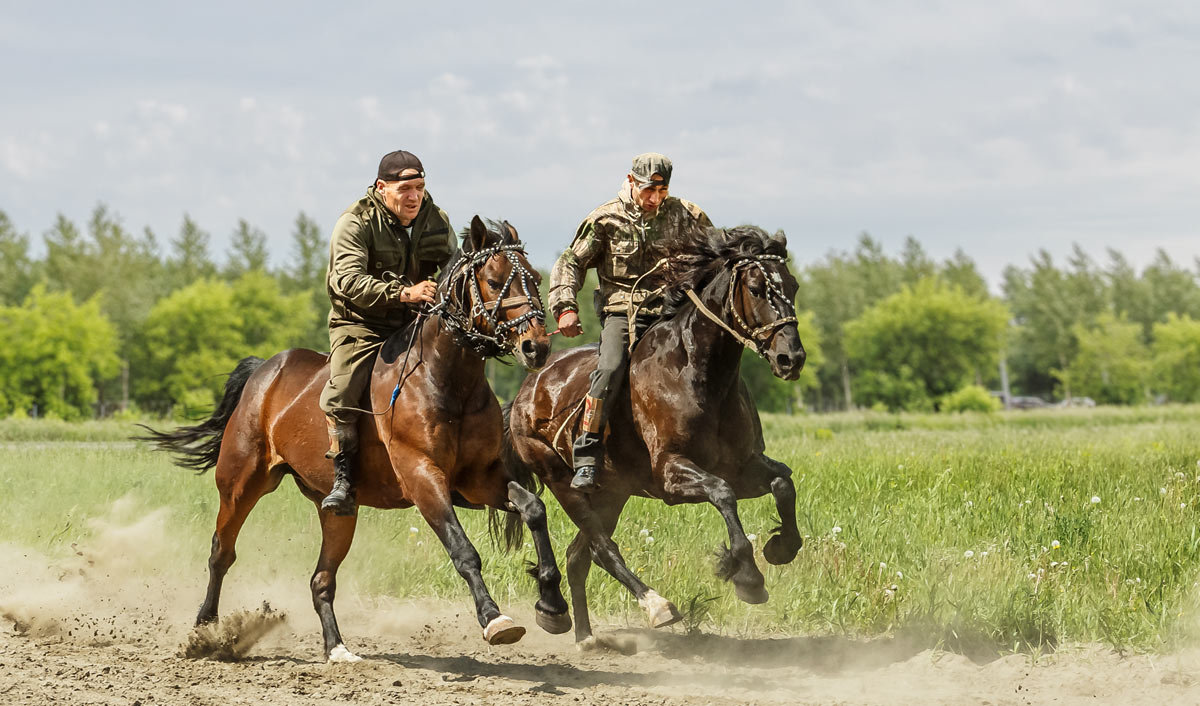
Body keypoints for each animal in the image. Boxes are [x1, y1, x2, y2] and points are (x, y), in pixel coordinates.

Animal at [138, 214, 568, 662]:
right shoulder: (423, 477)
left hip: (337, 513)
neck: (447, 379)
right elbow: (462, 549)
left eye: (535, 278)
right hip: (242, 484)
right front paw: (494, 618)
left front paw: (552, 603)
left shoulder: (478, 479)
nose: (535, 346)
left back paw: (337, 648)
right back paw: (205, 631)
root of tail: (263, 371)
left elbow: (533, 508)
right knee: (221, 553)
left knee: (320, 579)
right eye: (494, 279)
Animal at [501, 224, 801, 643]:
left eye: (793, 286)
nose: (792, 358)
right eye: (756, 288)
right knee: (600, 548)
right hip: (563, 481)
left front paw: (781, 548)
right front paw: (748, 578)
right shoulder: (671, 473)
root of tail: (524, 393)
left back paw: (586, 637)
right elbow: (722, 493)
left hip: (613, 493)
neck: (697, 374)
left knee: (579, 557)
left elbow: (783, 483)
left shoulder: (743, 466)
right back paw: (653, 607)